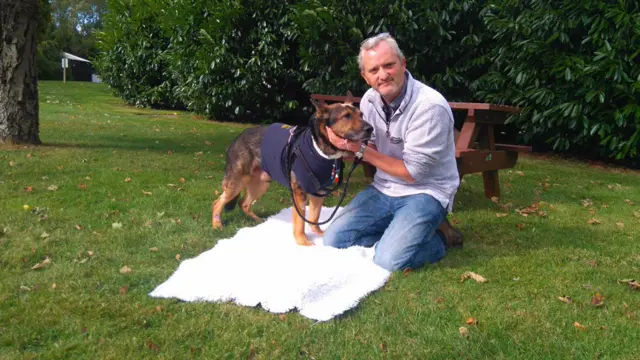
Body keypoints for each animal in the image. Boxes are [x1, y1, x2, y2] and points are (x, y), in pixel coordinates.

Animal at [212, 91, 372, 246]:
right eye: (346, 116)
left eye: (361, 115)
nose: (370, 129)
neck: (319, 148)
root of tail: (237, 138)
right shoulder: (299, 193)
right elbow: (301, 222)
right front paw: (302, 241)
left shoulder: (318, 192)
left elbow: (314, 216)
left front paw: (318, 234)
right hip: (238, 182)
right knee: (218, 202)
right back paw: (217, 225)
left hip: (261, 183)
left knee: (244, 204)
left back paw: (257, 221)